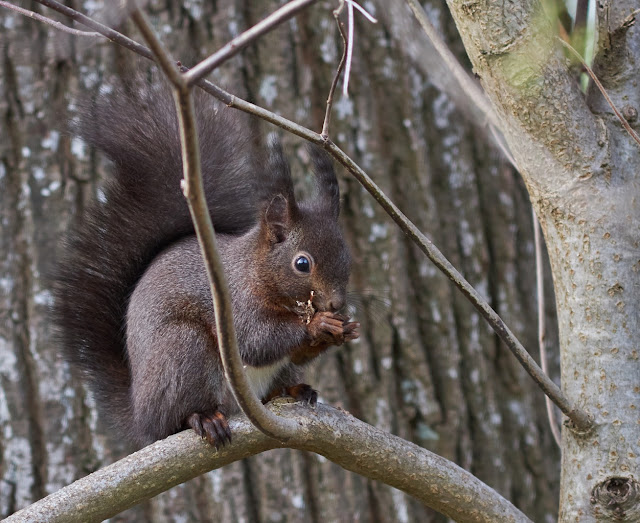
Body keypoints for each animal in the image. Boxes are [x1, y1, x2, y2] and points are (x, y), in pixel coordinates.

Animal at [52, 77, 359, 448]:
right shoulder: (233, 302)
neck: (254, 269)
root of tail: (140, 417)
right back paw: (203, 418)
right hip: (184, 349)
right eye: (302, 264)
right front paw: (319, 325)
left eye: (346, 255)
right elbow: (254, 340)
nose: (337, 303)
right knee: (176, 417)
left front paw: (343, 328)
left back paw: (293, 390)